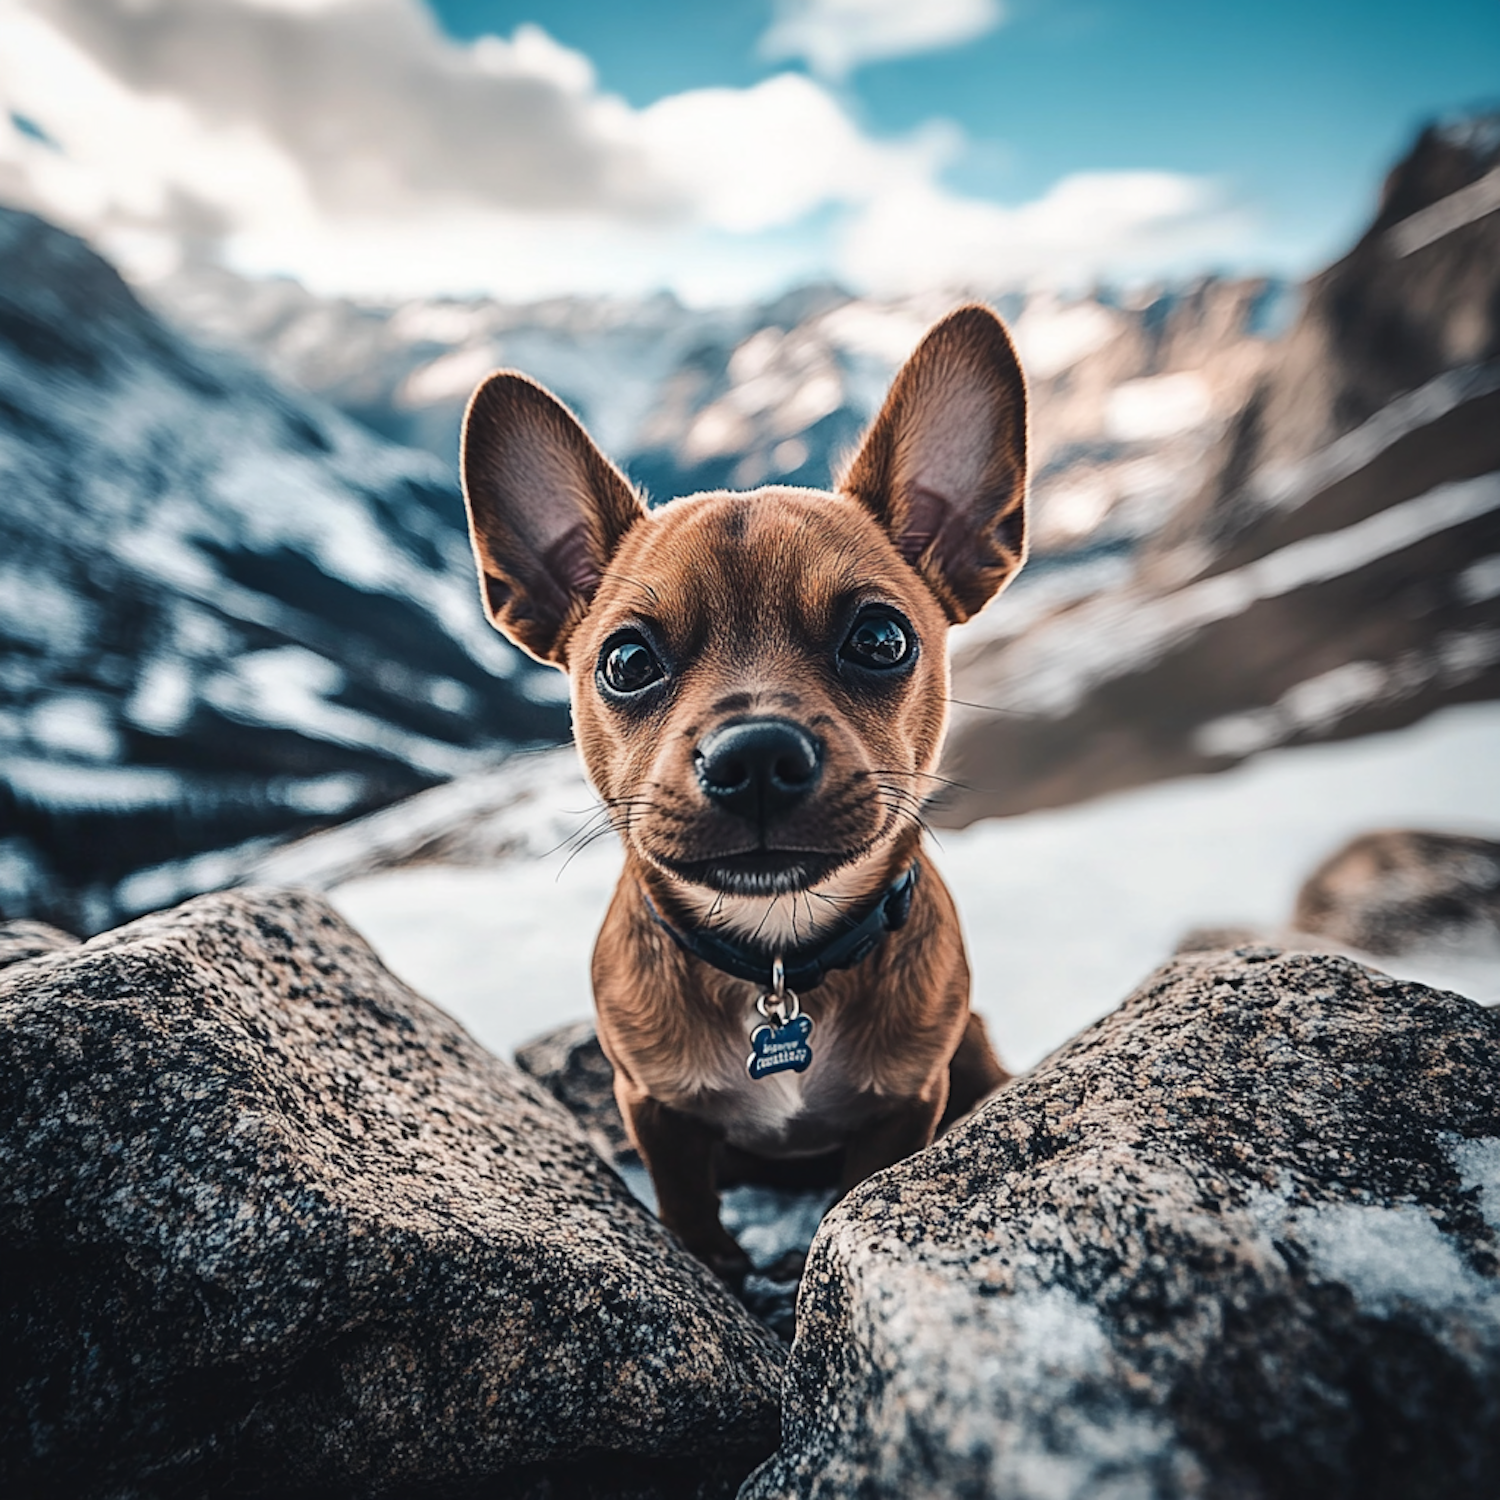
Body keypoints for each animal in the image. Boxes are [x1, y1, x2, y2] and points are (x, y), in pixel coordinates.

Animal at [462, 301, 1032, 1278]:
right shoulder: (656, 1109)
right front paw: (715, 1262)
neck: (777, 957)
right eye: (626, 661)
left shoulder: (904, 1106)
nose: (756, 753)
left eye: (881, 639)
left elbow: (858, 1190)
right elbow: (688, 1205)